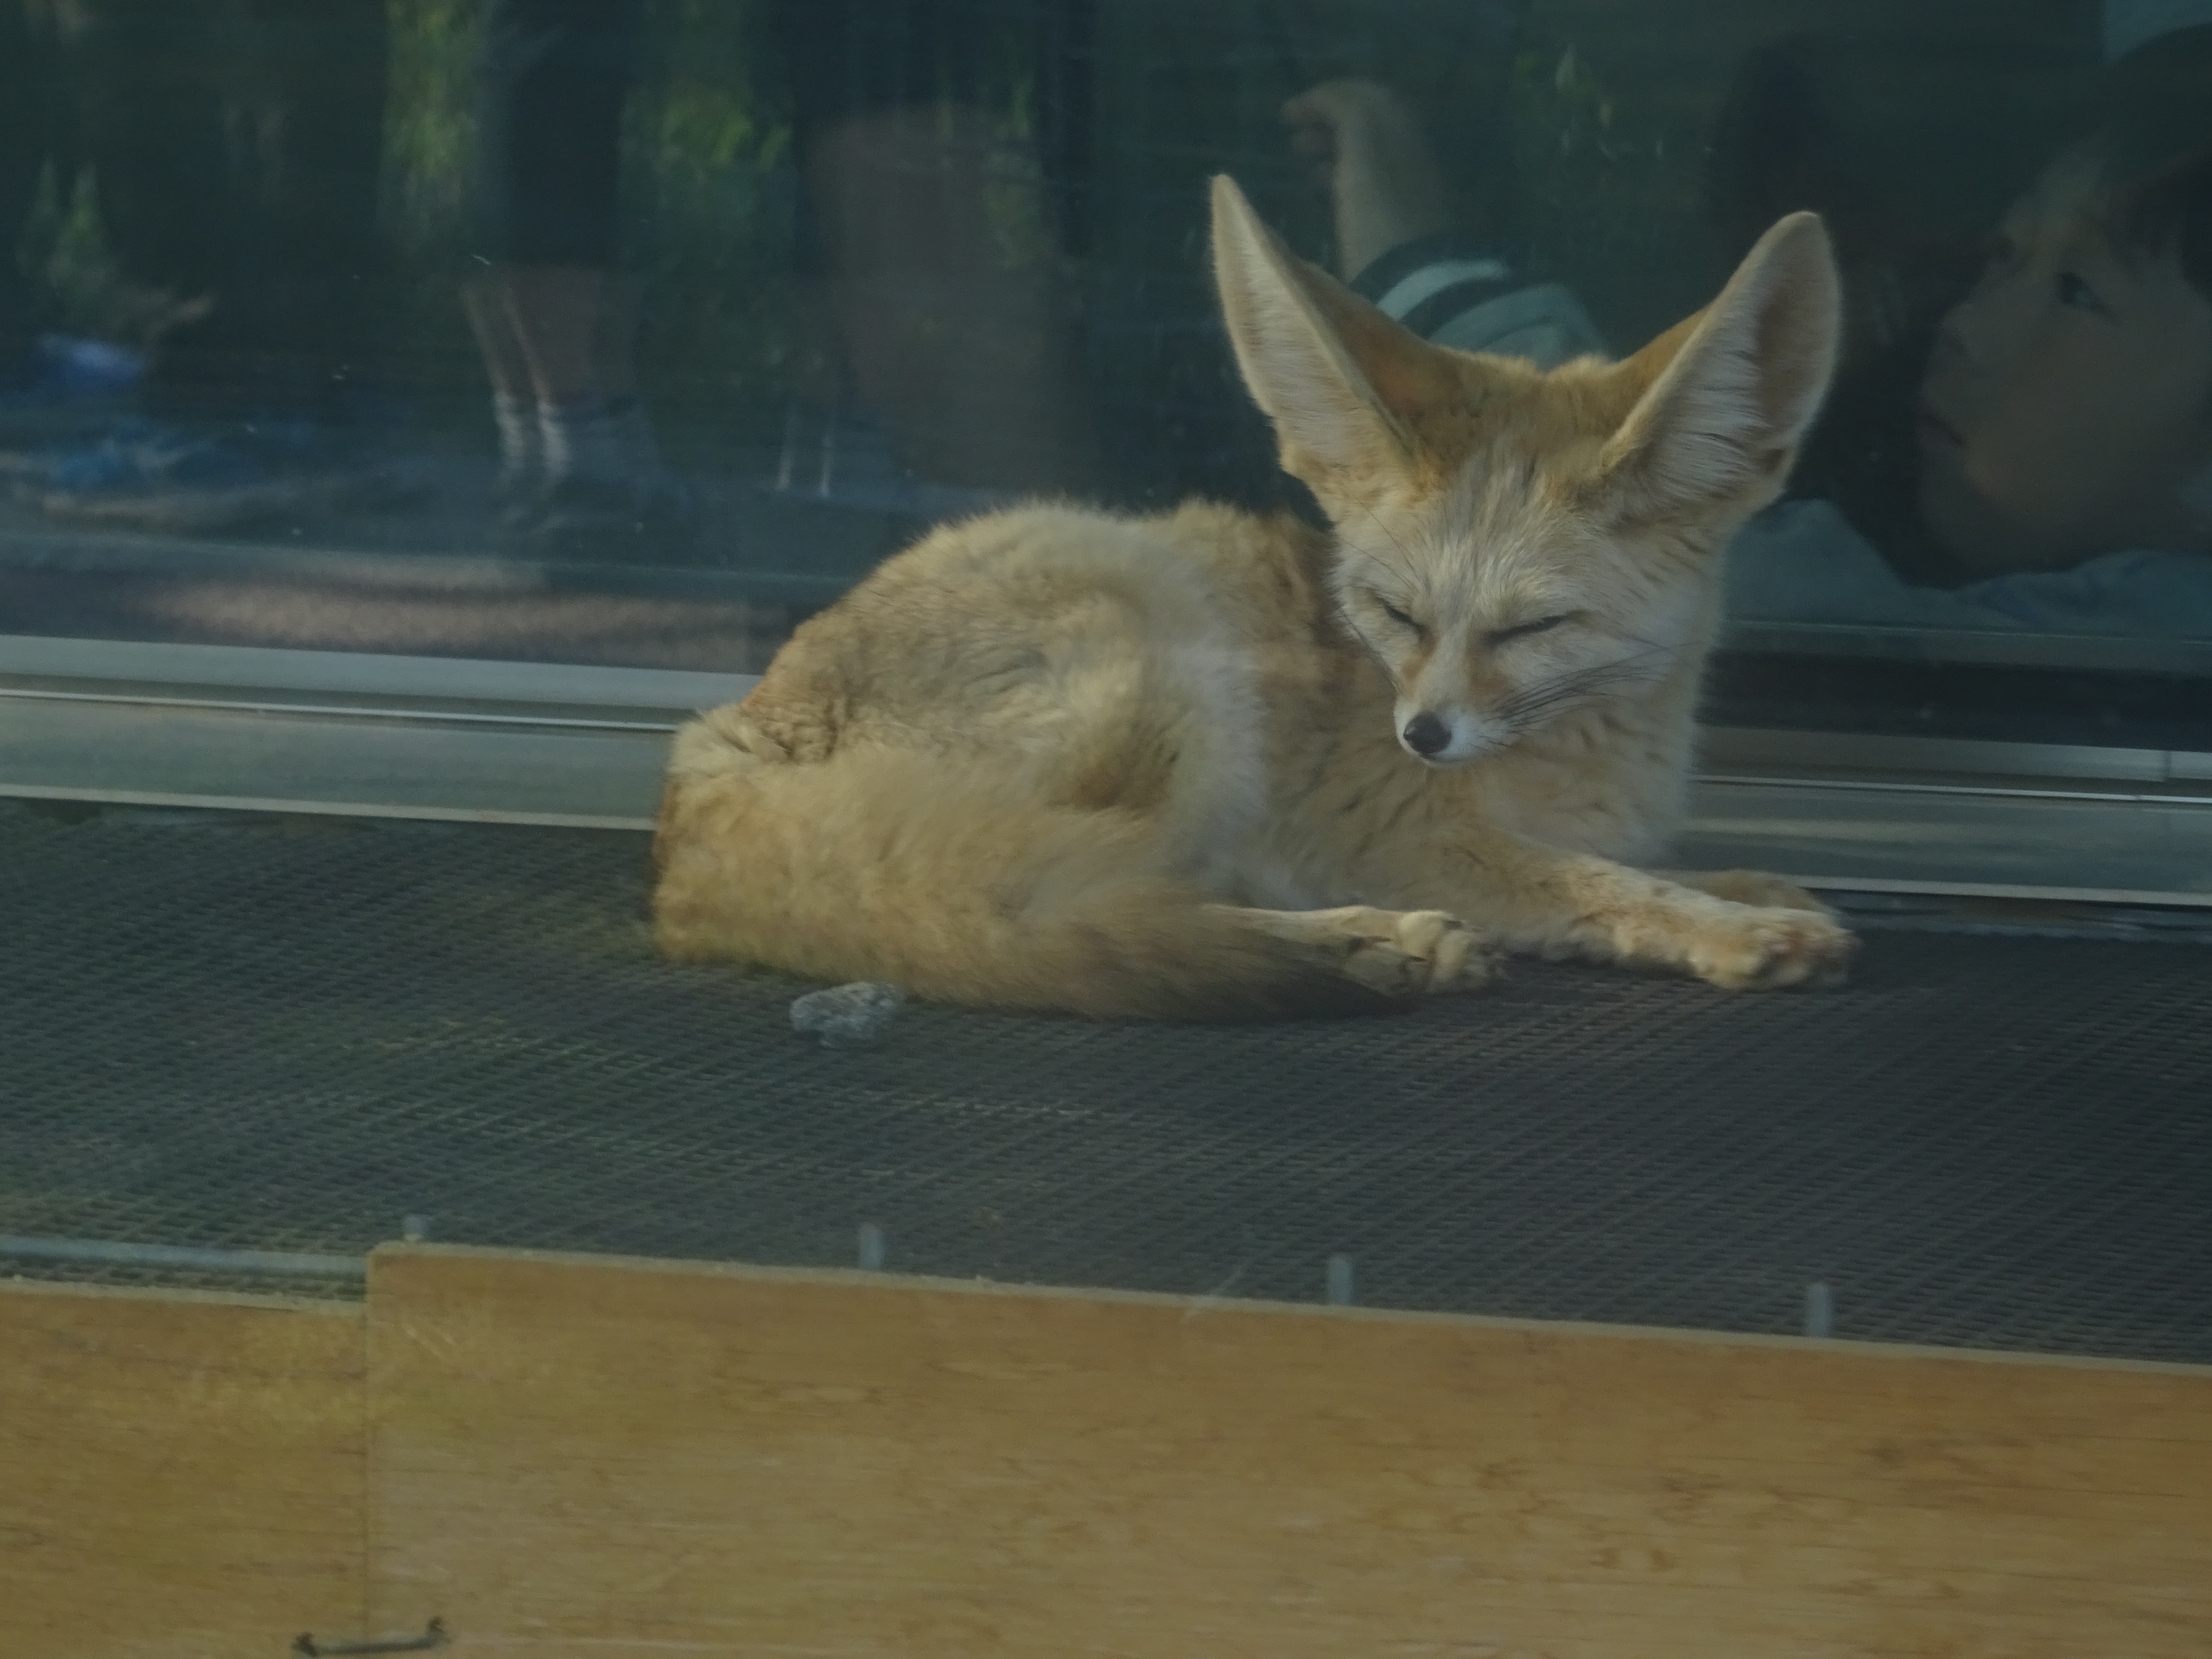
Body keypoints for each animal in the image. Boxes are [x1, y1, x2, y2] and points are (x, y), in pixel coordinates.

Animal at [652, 175, 1858, 1021]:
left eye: (1533, 626)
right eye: (1394, 613)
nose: (1421, 737)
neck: (1587, 750)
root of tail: (720, 742)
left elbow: (1629, 861)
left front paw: (1750, 885)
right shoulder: (1394, 835)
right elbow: (1591, 884)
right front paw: (1725, 925)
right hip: (1167, 667)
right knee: (1080, 902)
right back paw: (1364, 948)